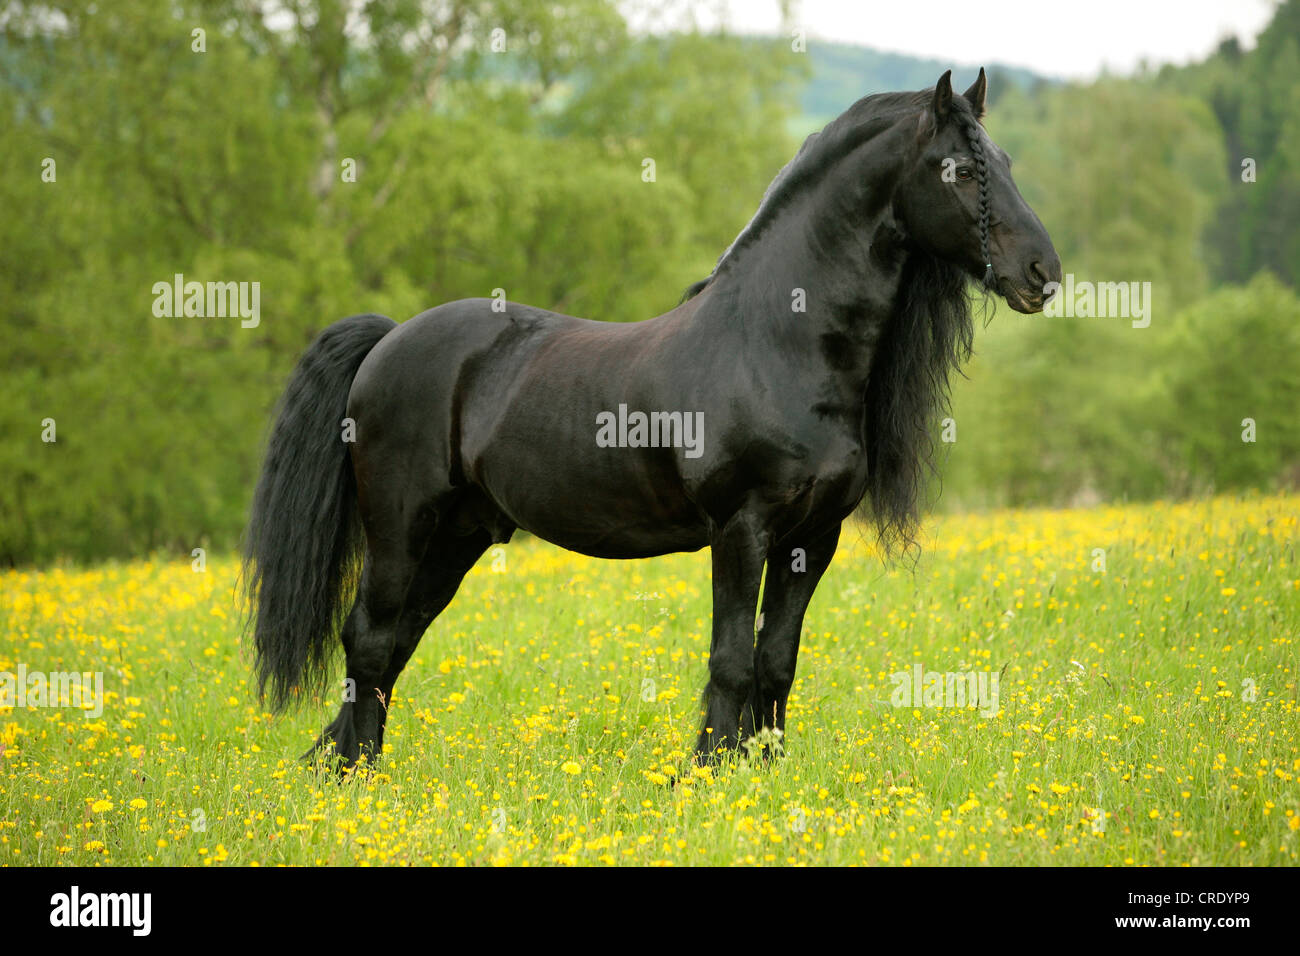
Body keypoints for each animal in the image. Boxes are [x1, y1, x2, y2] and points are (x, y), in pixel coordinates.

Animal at [243, 69, 1061, 770]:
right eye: (959, 171)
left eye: (1006, 161)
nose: (1043, 275)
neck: (776, 341)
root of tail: (389, 339)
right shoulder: (741, 527)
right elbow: (730, 660)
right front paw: (708, 771)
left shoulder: (813, 539)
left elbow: (776, 661)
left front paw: (765, 772)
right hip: (401, 524)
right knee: (370, 637)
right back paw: (354, 777)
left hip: (459, 533)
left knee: (397, 640)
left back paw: (347, 768)